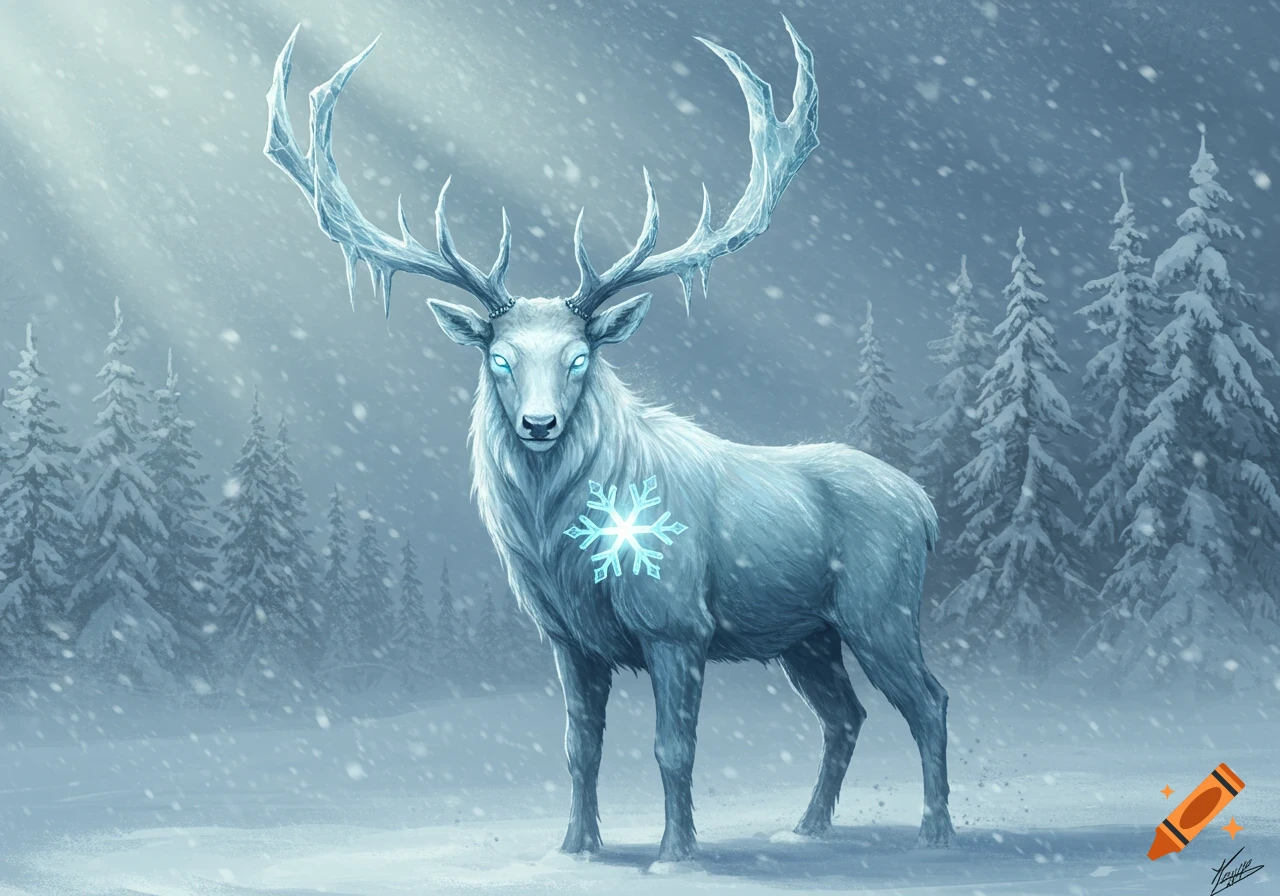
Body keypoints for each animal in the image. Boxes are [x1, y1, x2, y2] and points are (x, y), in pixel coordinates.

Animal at [264, 19, 955, 866]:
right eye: (498, 358)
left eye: (579, 357)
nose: (539, 424)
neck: (564, 552)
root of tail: (924, 505)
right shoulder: (568, 640)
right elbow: (579, 748)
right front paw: (575, 846)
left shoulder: (677, 623)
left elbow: (673, 748)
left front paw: (675, 853)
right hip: (806, 636)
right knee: (844, 714)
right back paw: (808, 825)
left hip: (878, 607)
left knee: (928, 699)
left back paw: (935, 829)